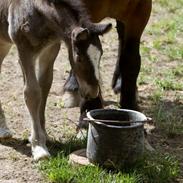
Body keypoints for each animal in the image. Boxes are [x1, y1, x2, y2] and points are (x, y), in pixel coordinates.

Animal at [0, 0, 111, 160]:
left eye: (101, 54)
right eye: (79, 58)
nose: (93, 92)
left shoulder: (51, 48)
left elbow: (44, 87)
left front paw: (43, 135)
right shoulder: (24, 50)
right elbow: (32, 93)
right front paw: (38, 147)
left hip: (3, 43)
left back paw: (3, 128)